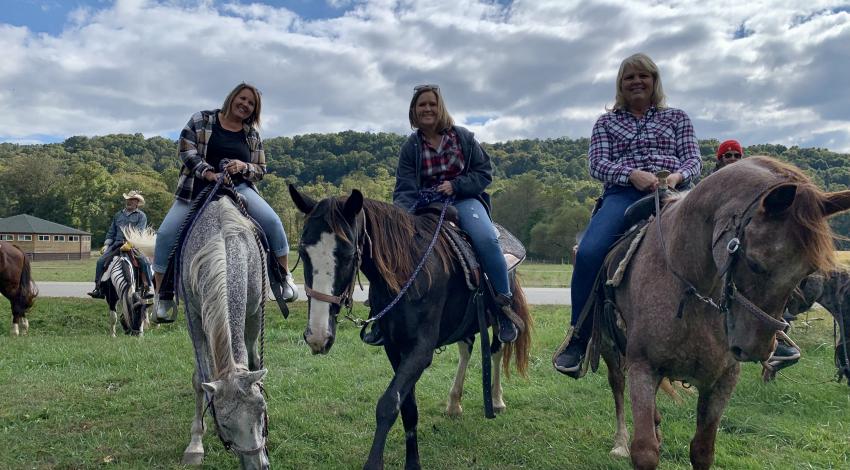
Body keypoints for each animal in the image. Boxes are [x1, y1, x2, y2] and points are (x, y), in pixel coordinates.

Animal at [126, 198, 268, 470]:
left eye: (262, 411)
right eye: (224, 424)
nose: (258, 466)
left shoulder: (255, 312)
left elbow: (254, 359)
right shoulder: (195, 319)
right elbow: (199, 379)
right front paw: (195, 443)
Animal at [292, 186, 528, 470]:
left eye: (348, 254)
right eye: (303, 252)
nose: (317, 336)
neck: (410, 273)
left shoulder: (420, 351)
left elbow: (388, 404)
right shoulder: (395, 349)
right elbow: (408, 408)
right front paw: (413, 463)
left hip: (496, 318)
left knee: (496, 350)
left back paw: (496, 399)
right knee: (466, 349)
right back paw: (454, 404)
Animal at [584, 156, 848, 468]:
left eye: (808, 270)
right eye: (754, 262)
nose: (757, 349)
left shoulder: (722, 380)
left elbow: (702, 450)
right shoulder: (642, 367)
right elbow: (645, 450)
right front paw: (636, 444)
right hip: (611, 349)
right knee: (618, 386)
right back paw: (620, 443)